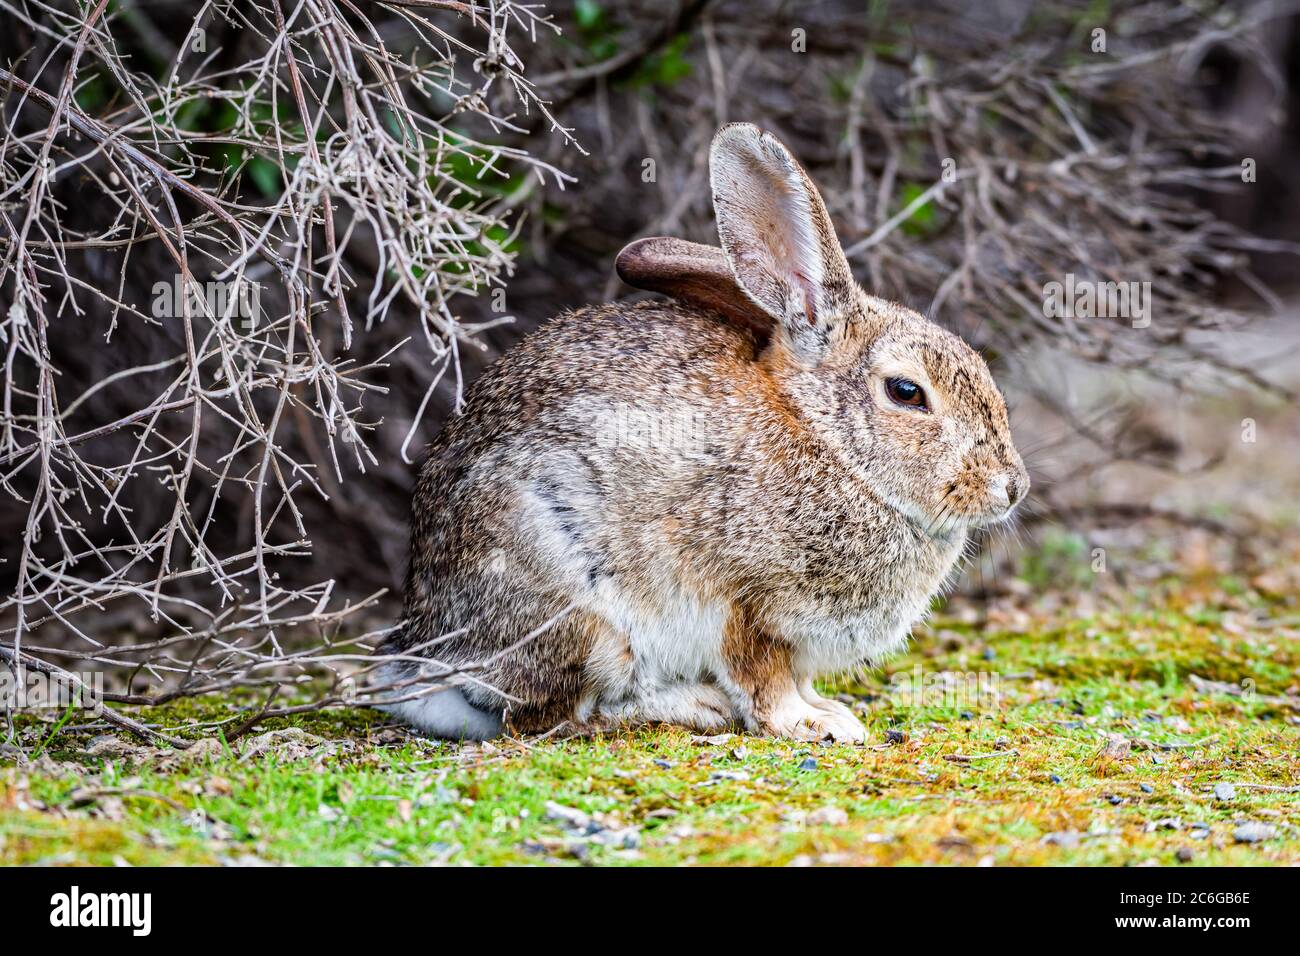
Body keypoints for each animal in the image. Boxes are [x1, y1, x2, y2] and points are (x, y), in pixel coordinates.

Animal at [374, 123, 1024, 743]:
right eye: (906, 392)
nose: (1011, 487)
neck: (827, 442)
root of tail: (433, 661)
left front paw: (826, 708)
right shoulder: (742, 603)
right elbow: (762, 676)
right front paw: (810, 724)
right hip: (579, 615)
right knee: (552, 716)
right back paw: (692, 706)